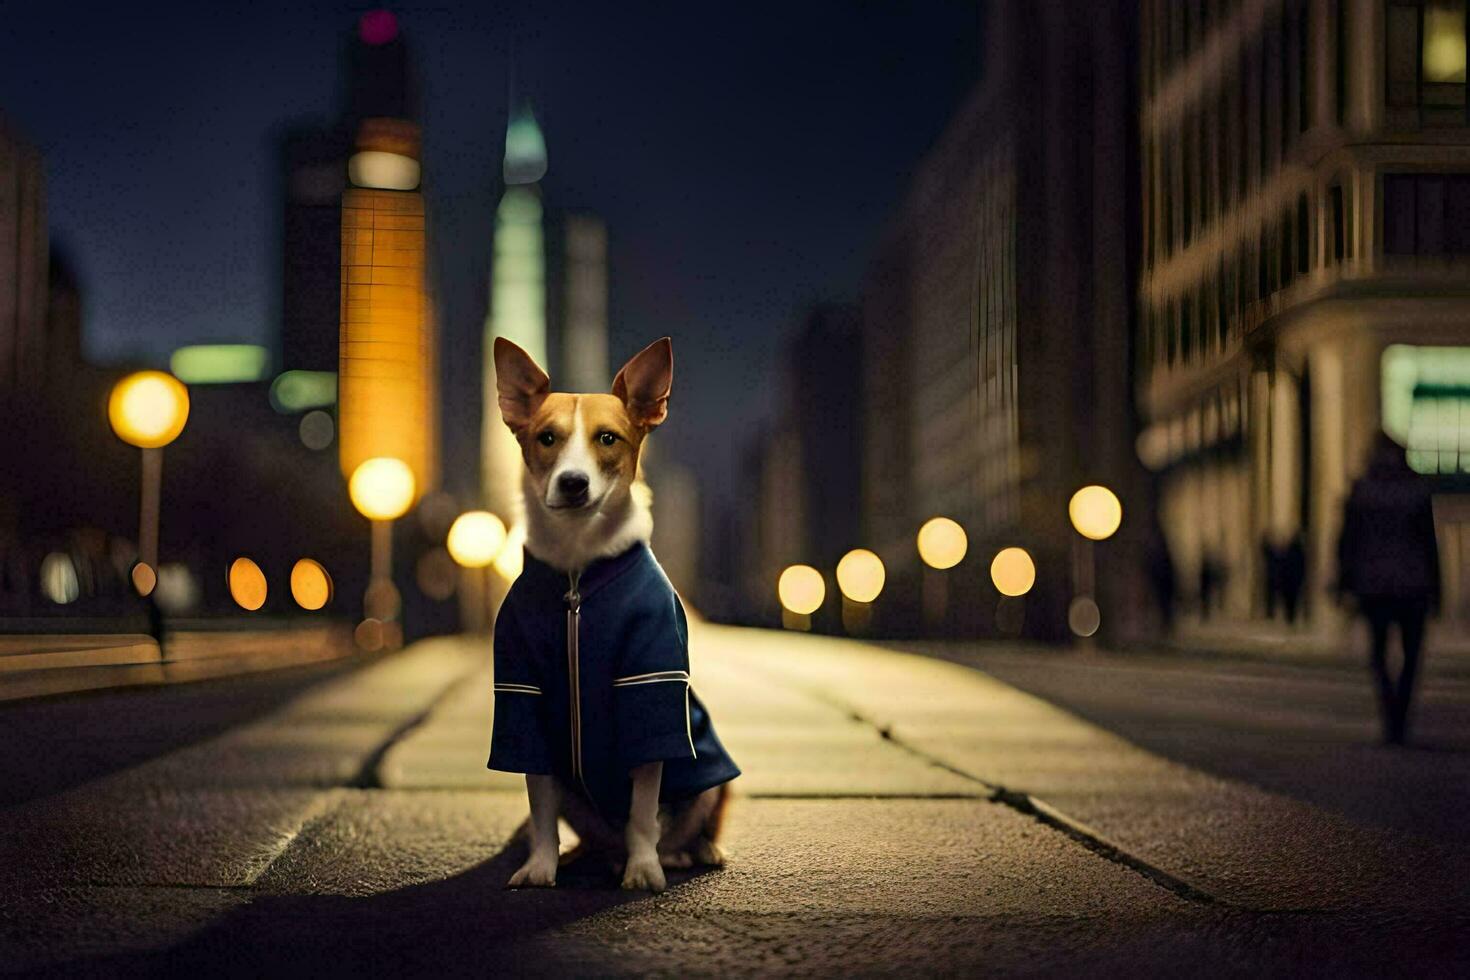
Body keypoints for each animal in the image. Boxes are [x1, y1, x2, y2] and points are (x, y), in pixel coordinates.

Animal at [488, 334, 740, 887]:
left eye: (608, 439)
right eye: (546, 438)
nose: (573, 482)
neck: (578, 574)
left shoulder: (648, 687)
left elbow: (644, 810)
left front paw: (643, 870)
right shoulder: (523, 696)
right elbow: (539, 805)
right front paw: (541, 866)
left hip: (713, 777)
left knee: (687, 822)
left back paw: (690, 851)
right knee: (593, 834)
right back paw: (590, 855)